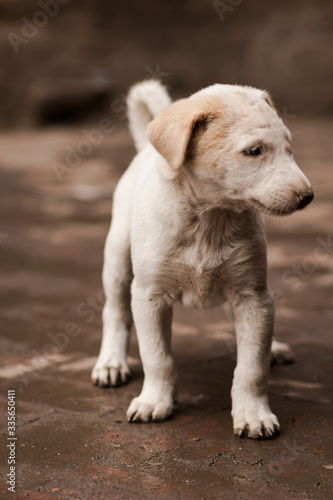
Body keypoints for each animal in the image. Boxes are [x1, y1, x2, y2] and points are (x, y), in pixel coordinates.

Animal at [91, 80, 312, 440]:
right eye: (254, 151)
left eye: (289, 148)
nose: (308, 197)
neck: (210, 218)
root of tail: (145, 150)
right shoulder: (149, 296)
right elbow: (156, 357)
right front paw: (155, 401)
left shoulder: (254, 296)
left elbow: (252, 366)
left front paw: (253, 414)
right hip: (117, 258)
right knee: (114, 311)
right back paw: (110, 363)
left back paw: (275, 347)